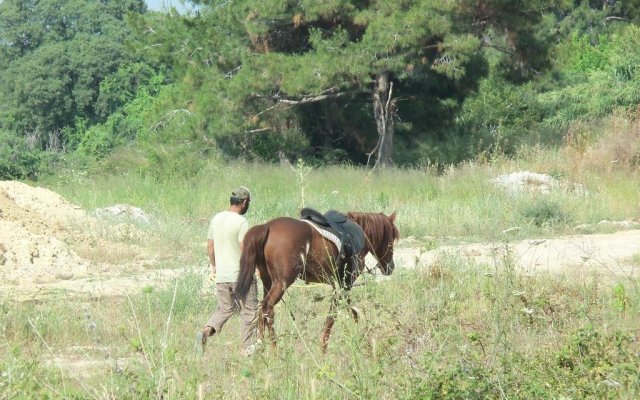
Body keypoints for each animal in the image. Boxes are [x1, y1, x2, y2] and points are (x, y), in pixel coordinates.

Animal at [232, 212, 398, 350]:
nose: (391, 267)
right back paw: (271, 348)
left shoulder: (341, 286)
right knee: (267, 309)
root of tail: (267, 226)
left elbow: (351, 311)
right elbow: (333, 316)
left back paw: (263, 346)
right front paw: (324, 346)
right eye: (392, 238)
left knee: (263, 311)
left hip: (268, 281)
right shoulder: (345, 285)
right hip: (281, 283)